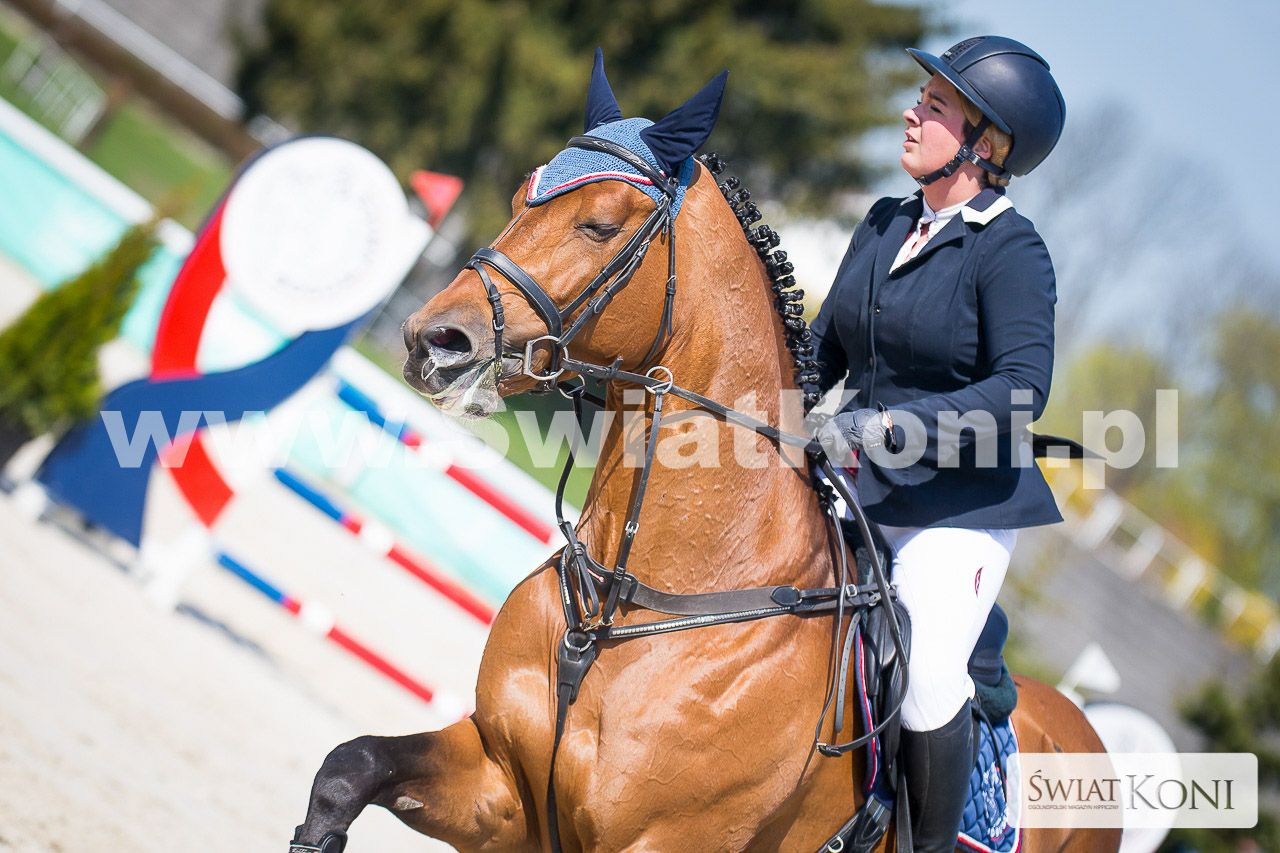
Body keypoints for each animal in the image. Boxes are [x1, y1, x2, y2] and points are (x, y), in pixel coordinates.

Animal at [291, 54, 1120, 853]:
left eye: (599, 224)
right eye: (526, 192)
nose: (434, 342)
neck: (629, 600)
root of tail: (1088, 732)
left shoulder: (662, 840)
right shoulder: (500, 786)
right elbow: (348, 767)